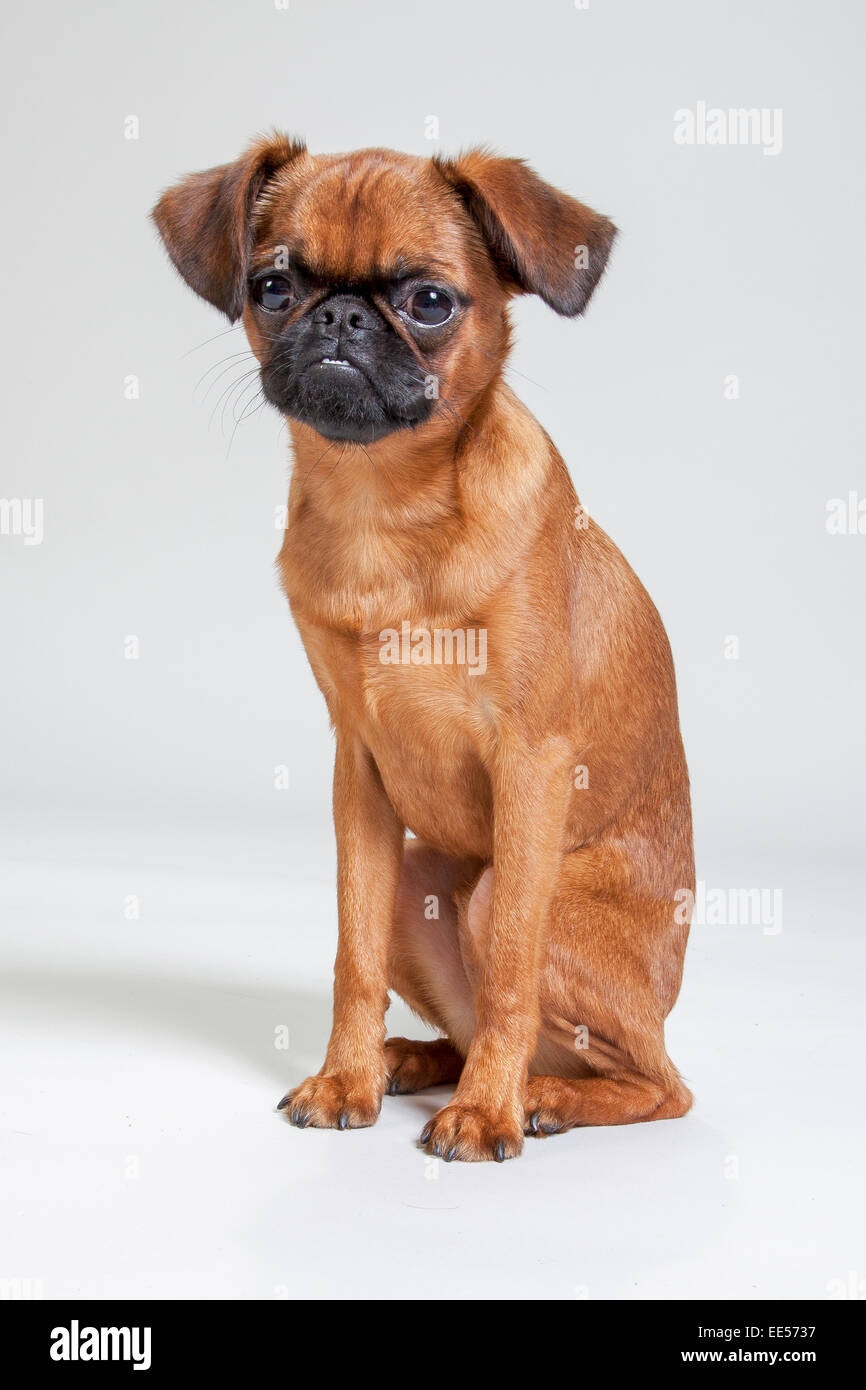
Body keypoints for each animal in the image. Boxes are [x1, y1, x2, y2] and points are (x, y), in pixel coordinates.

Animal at [152, 138, 697, 1162]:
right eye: (273, 287)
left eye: (431, 301)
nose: (338, 314)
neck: (384, 508)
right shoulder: (359, 775)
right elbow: (352, 951)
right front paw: (348, 1079)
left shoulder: (533, 765)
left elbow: (512, 967)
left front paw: (486, 1113)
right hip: (416, 882)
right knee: (472, 1020)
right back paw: (414, 1060)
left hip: (519, 917)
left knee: (658, 1083)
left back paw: (539, 1096)